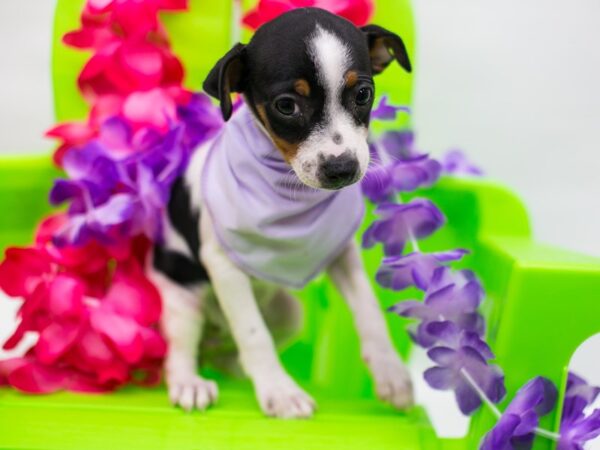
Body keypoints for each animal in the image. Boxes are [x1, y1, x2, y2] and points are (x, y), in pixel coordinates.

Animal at [149, 6, 412, 418]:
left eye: (363, 94)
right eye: (286, 105)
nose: (342, 168)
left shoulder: (342, 254)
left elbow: (369, 310)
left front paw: (390, 372)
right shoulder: (223, 267)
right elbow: (253, 334)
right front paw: (280, 391)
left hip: (289, 312)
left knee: (230, 351)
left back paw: (232, 366)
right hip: (183, 300)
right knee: (181, 350)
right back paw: (190, 383)